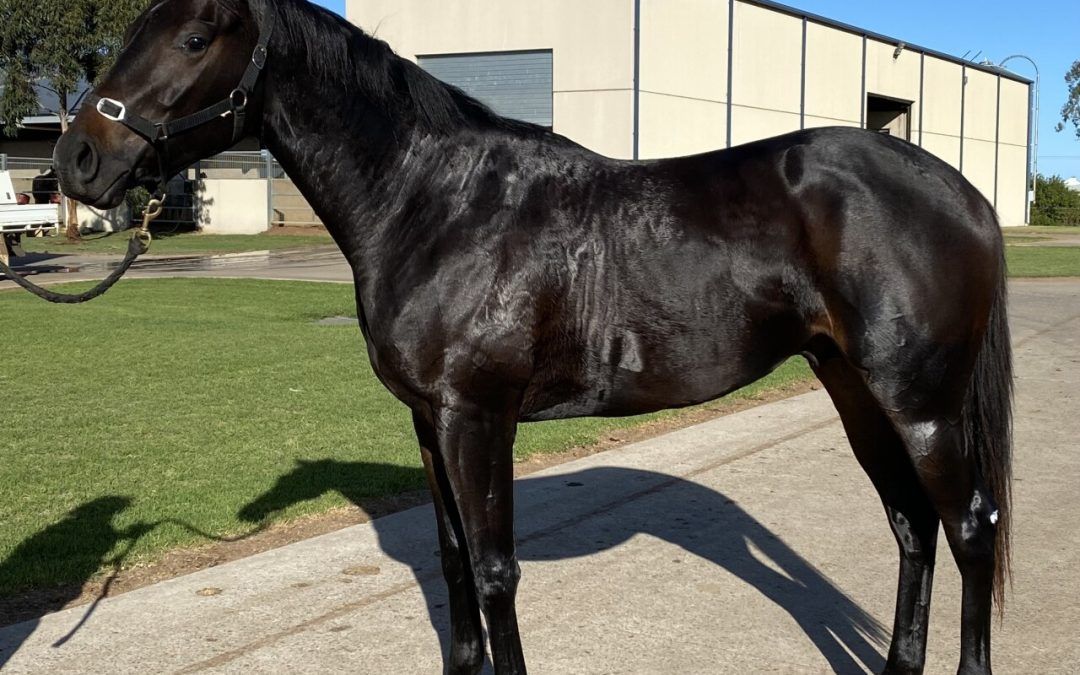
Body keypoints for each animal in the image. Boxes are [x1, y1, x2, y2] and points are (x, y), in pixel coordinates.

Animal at [50, 1, 1010, 673]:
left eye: (194, 37)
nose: (76, 162)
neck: (436, 202)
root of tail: (959, 191)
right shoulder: (427, 420)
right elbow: (451, 564)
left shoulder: (478, 417)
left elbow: (494, 569)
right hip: (854, 388)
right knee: (911, 525)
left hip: (921, 403)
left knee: (967, 525)